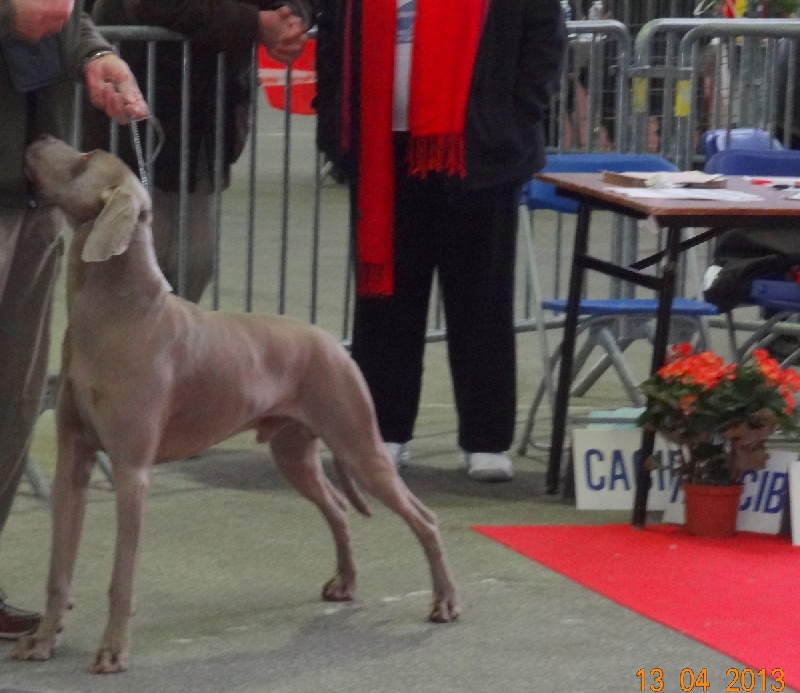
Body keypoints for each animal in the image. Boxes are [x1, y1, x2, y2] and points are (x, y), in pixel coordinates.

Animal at [12, 135, 458, 673]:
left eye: (81, 162)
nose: (37, 139)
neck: (116, 314)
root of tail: (332, 342)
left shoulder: (131, 472)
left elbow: (122, 576)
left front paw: (114, 650)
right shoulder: (73, 464)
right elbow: (58, 567)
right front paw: (42, 640)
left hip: (359, 446)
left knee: (424, 519)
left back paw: (445, 602)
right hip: (294, 454)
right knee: (337, 508)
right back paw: (346, 583)